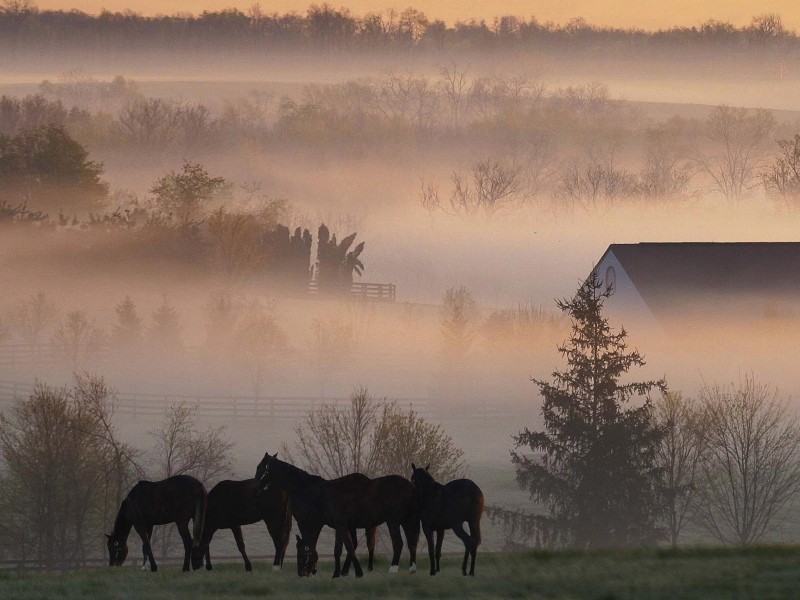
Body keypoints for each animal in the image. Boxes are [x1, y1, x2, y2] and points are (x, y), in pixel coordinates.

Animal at [255, 454, 418, 576]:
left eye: (260, 467)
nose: (256, 486)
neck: (308, 491)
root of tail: (409, 486)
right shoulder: (339, 526)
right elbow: (341, 548)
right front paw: (340, 572)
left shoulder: (320, 523)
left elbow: (344, 547)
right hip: (407, 520)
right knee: (411, 542)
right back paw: (411, 568)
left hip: (393, 521)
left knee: (398, 543)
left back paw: (393, 568)